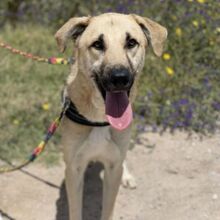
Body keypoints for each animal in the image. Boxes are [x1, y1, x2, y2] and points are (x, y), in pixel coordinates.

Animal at [55, 13, 167, 220]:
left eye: (131, 42)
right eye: (98, 44)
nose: (120, 78)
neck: (100, 117)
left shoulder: (113, 167)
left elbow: (108, 208)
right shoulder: (74, 169)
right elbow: (75, 210)